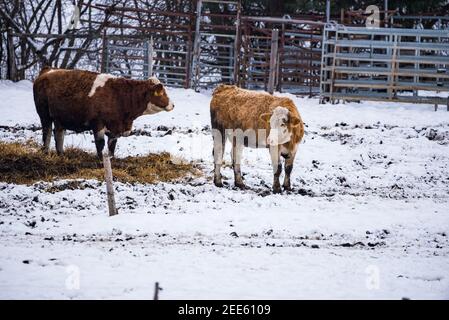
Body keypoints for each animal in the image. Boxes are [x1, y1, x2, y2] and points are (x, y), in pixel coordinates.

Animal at [32, 67, 173, 158]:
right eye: (161, 92)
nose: (172, 105)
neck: (119, 95)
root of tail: (48, 70)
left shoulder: (115, 128)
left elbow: (112, 146)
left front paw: (111, 159)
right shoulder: (98, 124)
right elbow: (100, 144)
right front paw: (100, 161)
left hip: (60, 119)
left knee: (59, 134)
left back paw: (61, 154)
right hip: (44, 115)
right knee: (47, 133)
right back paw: (46, 153)